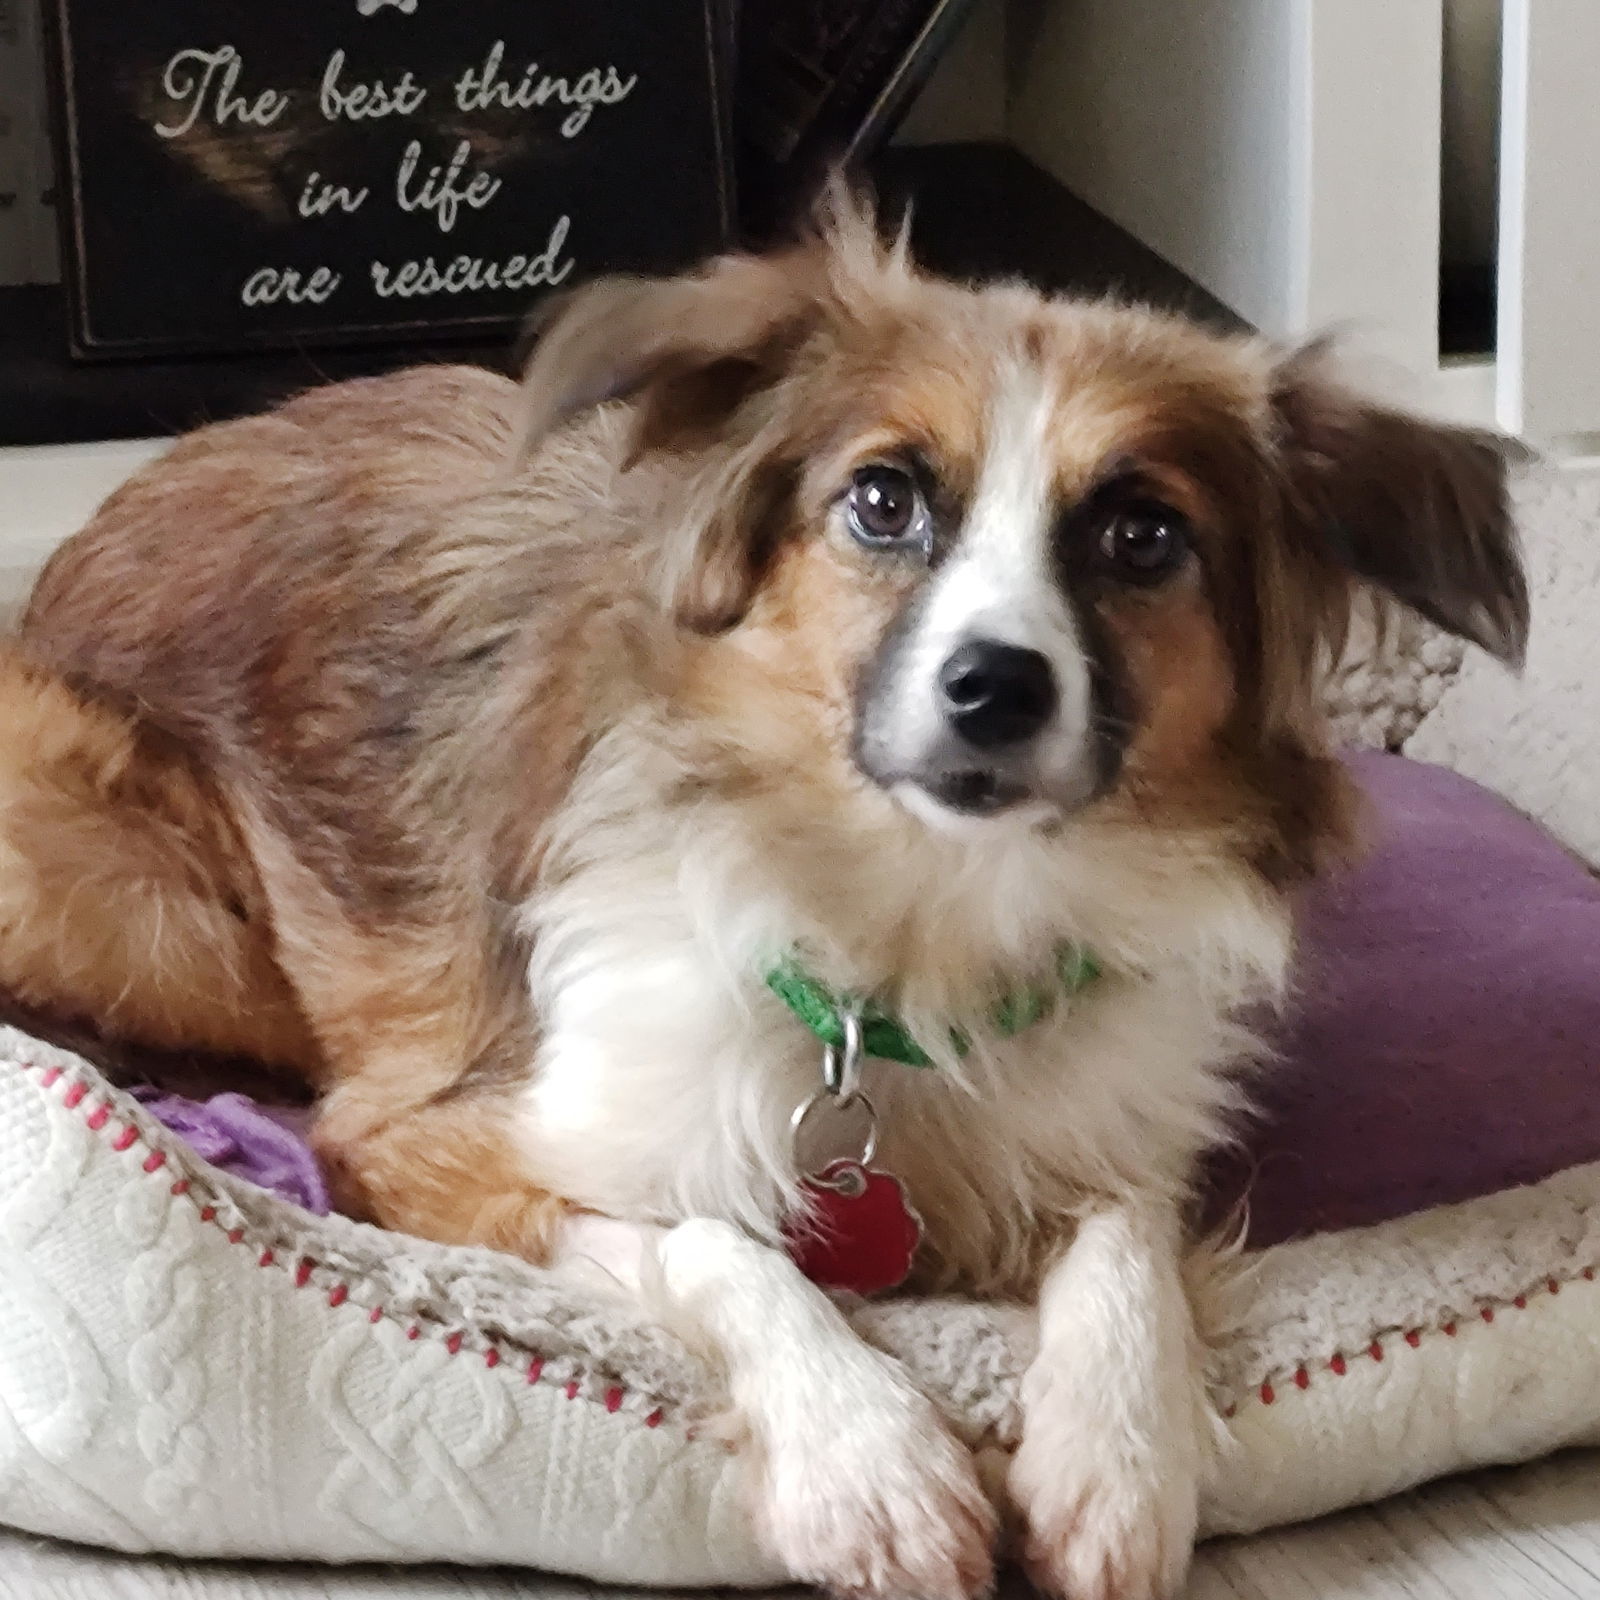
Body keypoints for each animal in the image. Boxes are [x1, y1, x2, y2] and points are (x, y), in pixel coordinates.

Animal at [0, 206, 1529, 1600]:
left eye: (1143, 534)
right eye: (884, 499)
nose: (995, 685)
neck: (916, 925)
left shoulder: (1101, 1109)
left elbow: (1123, 1236)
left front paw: (1118, 1457)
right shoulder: (441, 1137)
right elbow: (716, 1243)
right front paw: (868, 1461)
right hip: (159, 918)